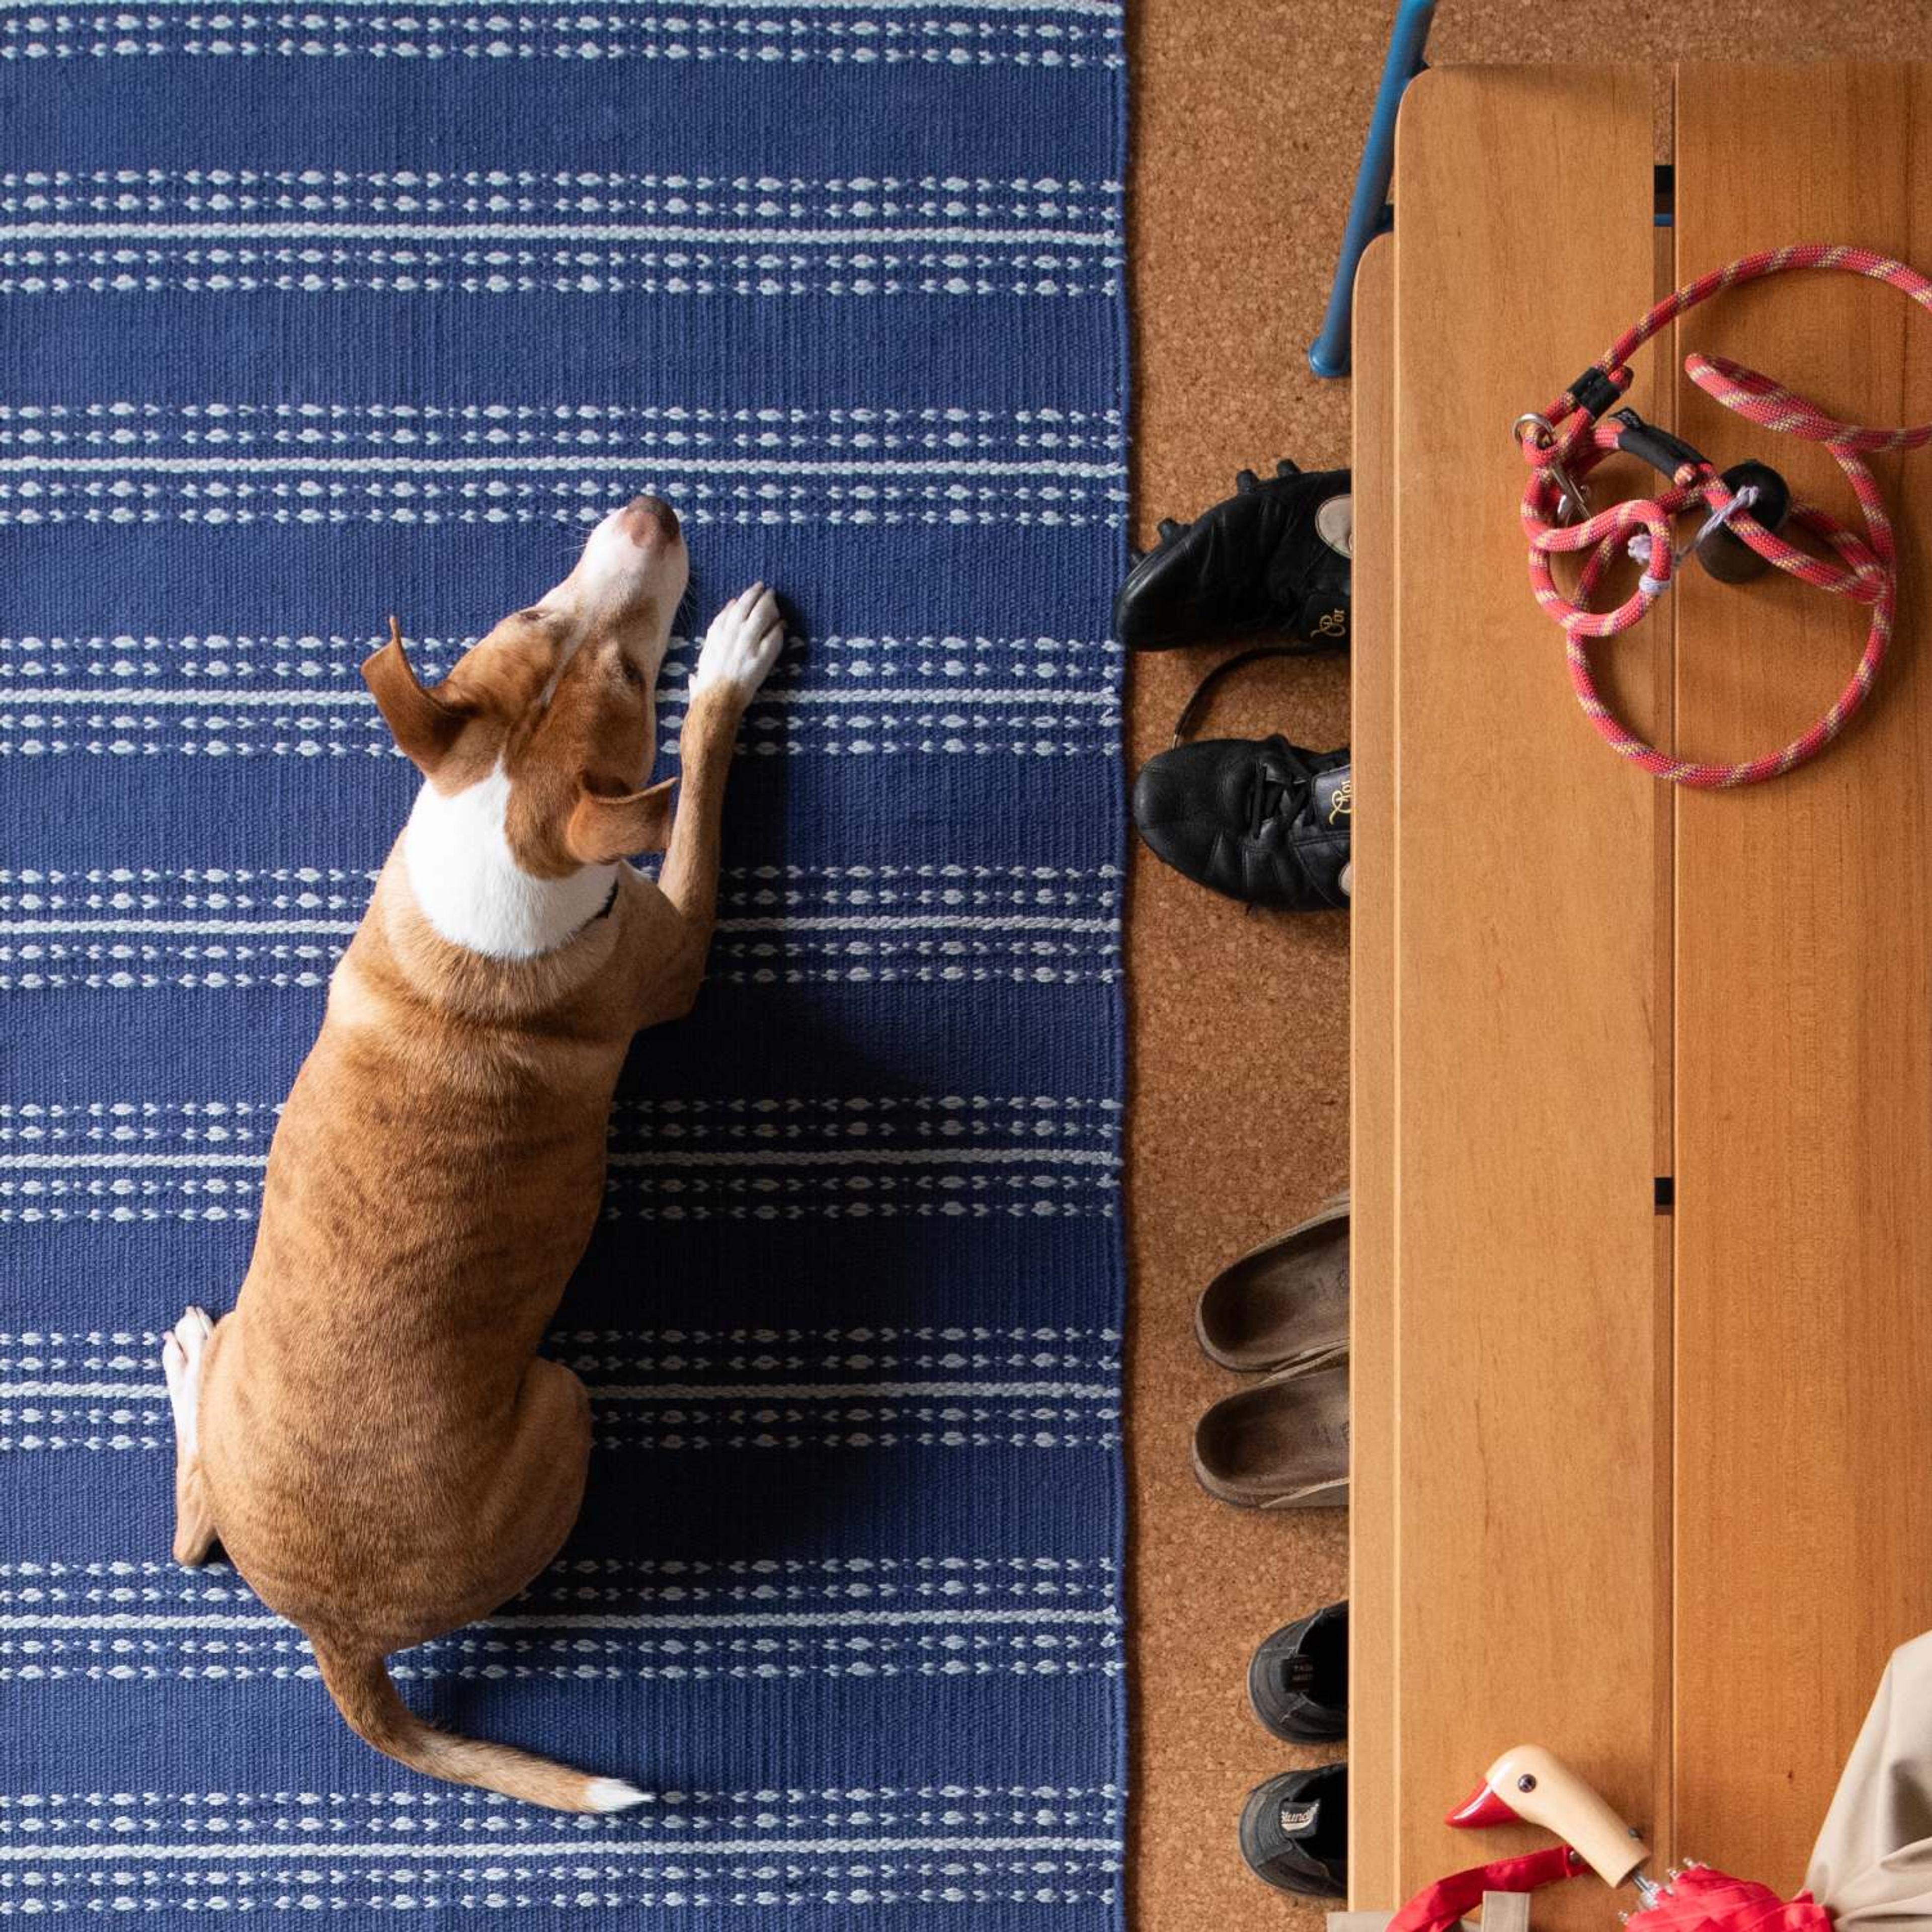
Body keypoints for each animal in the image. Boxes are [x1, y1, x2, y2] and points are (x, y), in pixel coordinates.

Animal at [152, 495, 784, 1808]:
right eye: (634, 675)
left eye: (532, 607)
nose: (655, 511)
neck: (497, 854)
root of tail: (340, 1634)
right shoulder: (675, 940)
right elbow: (694, 781)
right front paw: (732, 663)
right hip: (568, 1405)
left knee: (191, 1535)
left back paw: (191, 1372)